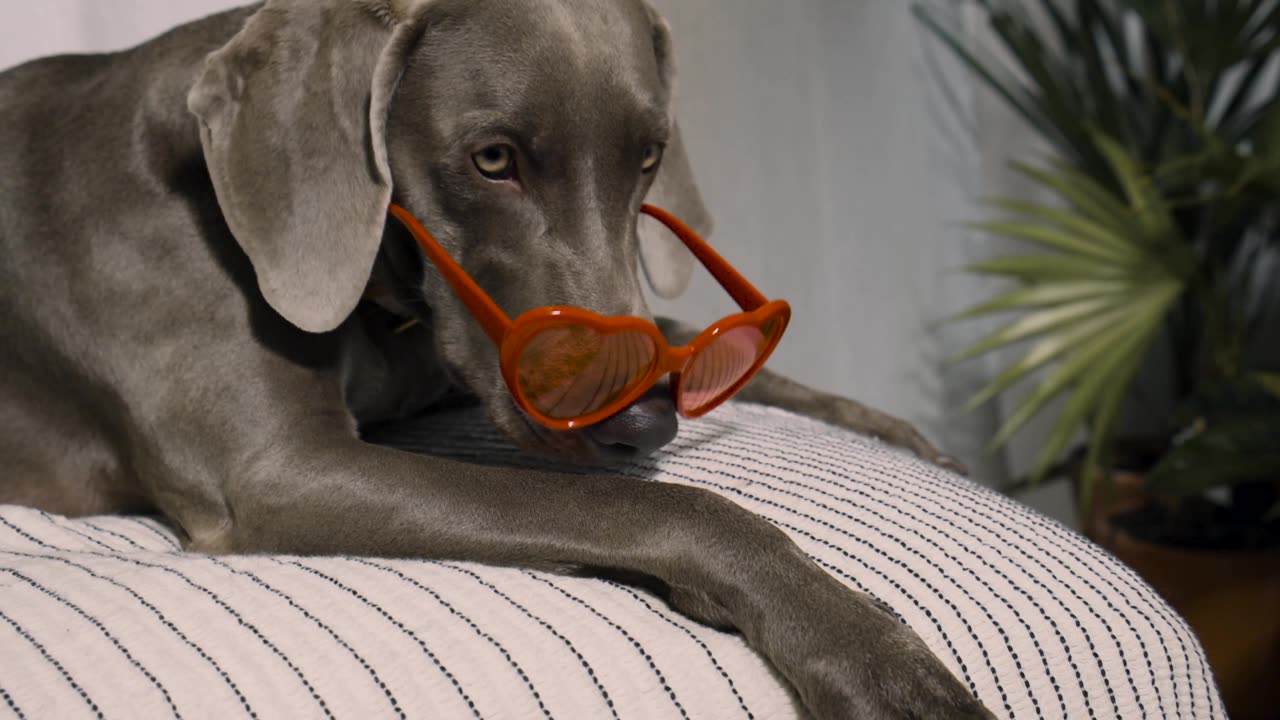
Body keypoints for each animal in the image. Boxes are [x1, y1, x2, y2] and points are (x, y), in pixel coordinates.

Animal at [0, 2, 988, 712]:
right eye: (493, 159)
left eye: (649, 159)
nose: (646, 423)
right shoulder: (279, 472)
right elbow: (660, 507)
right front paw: (869, 651)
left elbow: (688, 341)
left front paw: (900, 434)